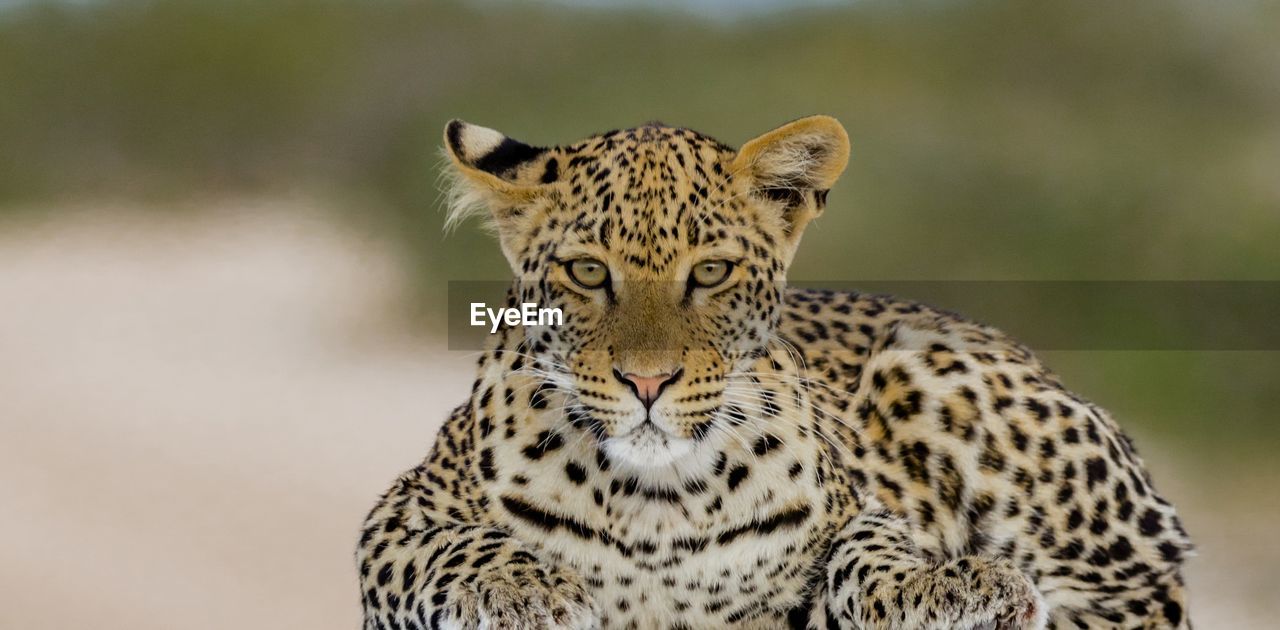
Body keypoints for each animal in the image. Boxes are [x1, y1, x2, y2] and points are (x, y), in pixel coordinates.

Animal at [355, 115, 1192, 627]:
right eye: (588, 272)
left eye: (712, 272)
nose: (648, 382)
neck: (652, 504)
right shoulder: (398, 517)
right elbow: (456, 545)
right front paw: (526, 589)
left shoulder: (857, 507)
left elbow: (869, 545)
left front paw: (944, 586)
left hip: (938, 375)